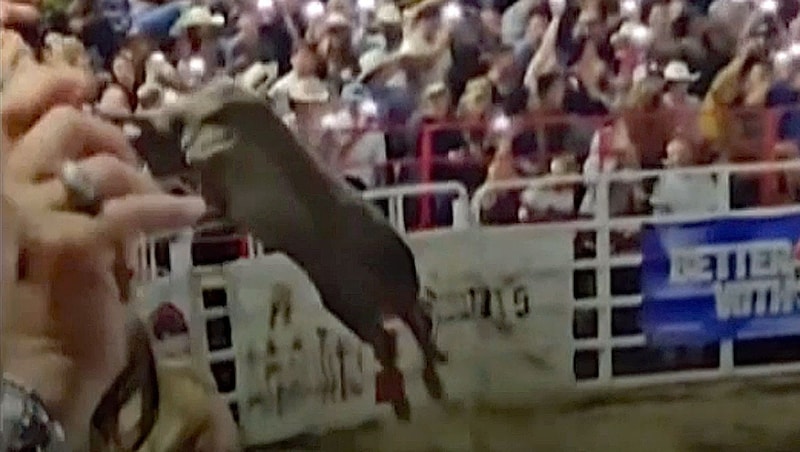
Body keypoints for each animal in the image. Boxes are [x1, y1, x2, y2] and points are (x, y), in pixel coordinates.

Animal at [113, 80, 450, 416]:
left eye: (158, 132)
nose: (132, 142)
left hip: (364, 295)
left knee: (400, 331)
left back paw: (417, 389)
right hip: (360, 299)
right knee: (409, 325)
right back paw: (423, 387)